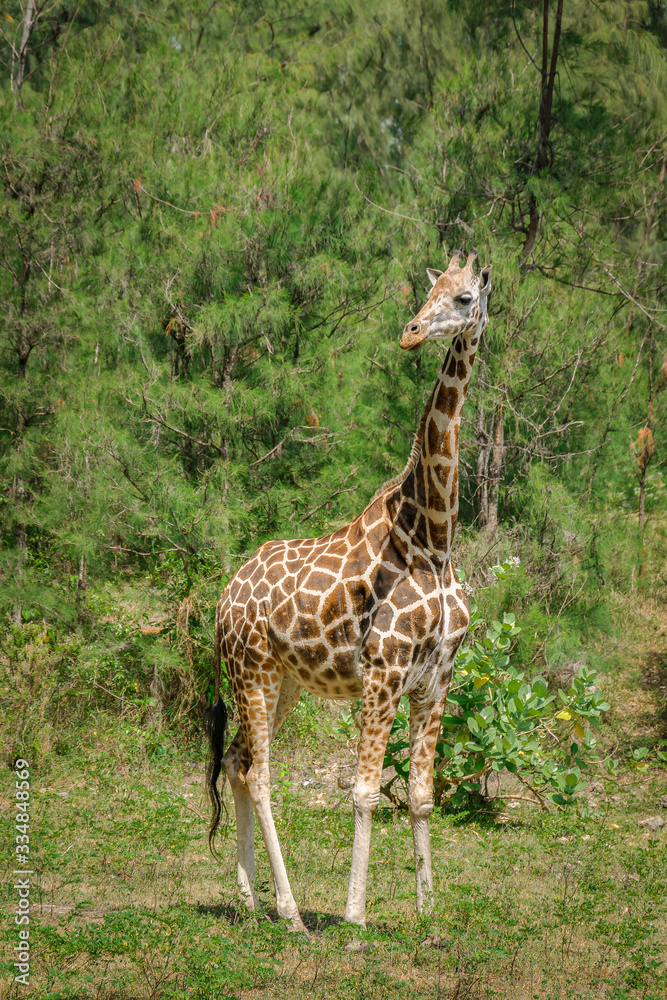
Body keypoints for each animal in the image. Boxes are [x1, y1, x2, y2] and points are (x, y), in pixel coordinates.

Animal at [207, 249, 492, 933]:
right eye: (429, 292)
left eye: (464, 298)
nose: (411, 333)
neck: (432, 538)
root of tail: (222, 600)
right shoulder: (383, 672)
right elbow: (363, 792)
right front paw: (356, 916)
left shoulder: (436, 678)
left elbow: (420, 796)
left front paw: (428, 913)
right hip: (252, 671)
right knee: (260, 774)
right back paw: (291, 913)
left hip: (282, 681)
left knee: (236, 763)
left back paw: (250, 899)